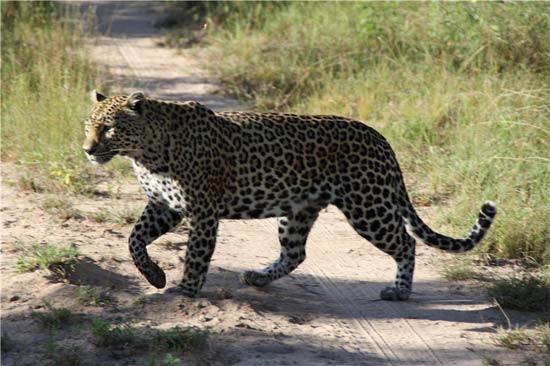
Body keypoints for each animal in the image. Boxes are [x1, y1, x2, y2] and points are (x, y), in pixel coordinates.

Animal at [83, 91, 500, 300]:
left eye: (109, 128)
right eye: (88, 125)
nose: (87, 149)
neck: (147, 154)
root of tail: (382, 139)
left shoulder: (202, 210)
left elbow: (197, 254)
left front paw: (185, 291)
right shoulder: (164, 205)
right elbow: (134, 240)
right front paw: (154, 277)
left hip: (368, 206)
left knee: (405, 242)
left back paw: (398, 291)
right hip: (299, 209)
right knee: (296, 252)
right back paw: (257, 278)